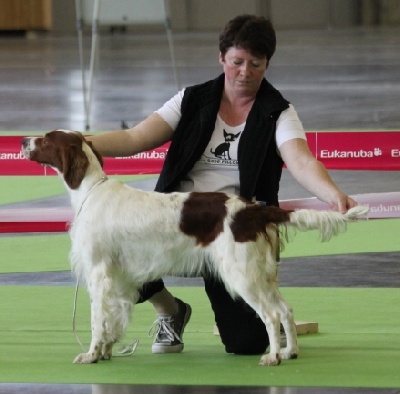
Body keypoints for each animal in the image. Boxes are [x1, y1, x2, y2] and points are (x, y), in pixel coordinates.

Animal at [21, 129, 366, 366]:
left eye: (47, 139)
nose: (24, 140)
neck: (91, 190)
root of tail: (251, 210)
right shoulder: (120, 278)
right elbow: (113, 319)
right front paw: (106, 351)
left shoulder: (98, 273)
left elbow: (97, 320)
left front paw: (91, 355)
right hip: (261, 273)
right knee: (285, 310)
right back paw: (291, 351)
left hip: (241, 274)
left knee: (269, 314)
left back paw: (273, 357)